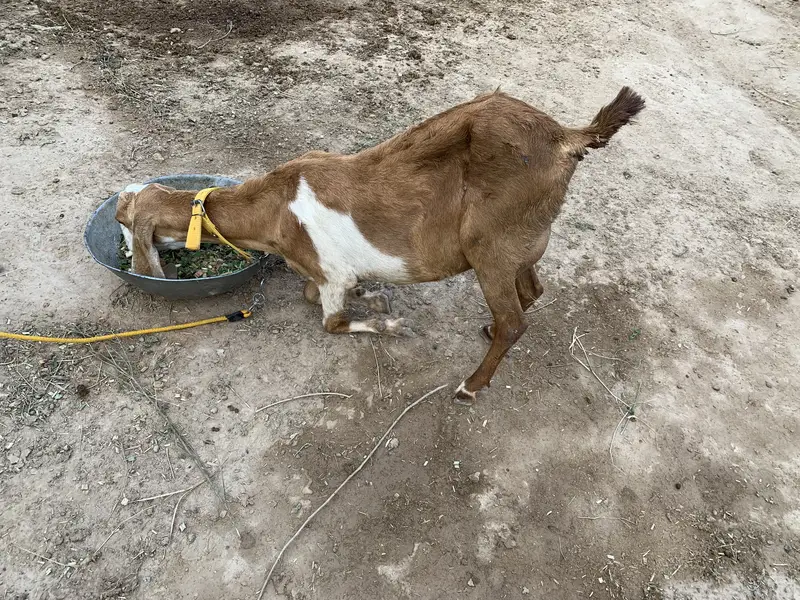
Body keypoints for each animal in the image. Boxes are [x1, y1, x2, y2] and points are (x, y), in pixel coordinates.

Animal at [116, 87, 645, 404]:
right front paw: (373, 295)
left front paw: (388, 322)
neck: (275, 209)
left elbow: (330, 321)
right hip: (524, 240)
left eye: (124, 223)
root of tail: (566, 138)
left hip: (490, 245)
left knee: (515, 321)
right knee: (531, 291)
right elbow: (315, 293)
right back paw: (486, 331)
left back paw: (470, 385)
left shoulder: (328, 269)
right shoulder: (325, 271)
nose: (125, 256)